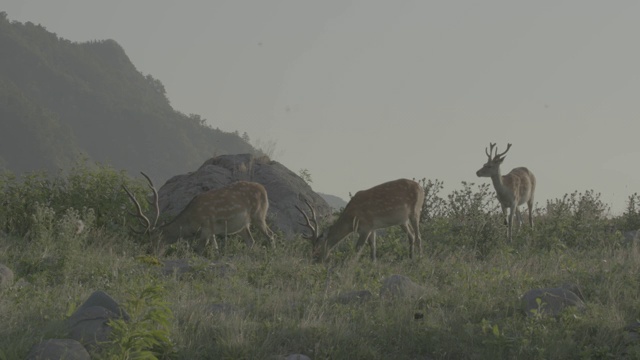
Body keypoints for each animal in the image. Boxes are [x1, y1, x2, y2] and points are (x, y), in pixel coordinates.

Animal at [122, 172, 276, 252]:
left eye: (155, 239)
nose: (150, 252)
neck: (191, 221)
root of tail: (264, 190)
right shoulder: (212, 231)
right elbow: (215, 249)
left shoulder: (206, 227)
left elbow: (200, 249)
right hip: (243, 226)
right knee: (251, 241)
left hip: (259, 214)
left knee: (270, 235)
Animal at [296, 179, 424, 262]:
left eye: (318, 247)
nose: (314, 259)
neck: (351, 221)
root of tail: (421, 188)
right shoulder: (372, 227)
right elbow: (373, 248)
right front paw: (373, 265)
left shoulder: (366, 227)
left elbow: (357, 249)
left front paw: (350, 267)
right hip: (403, 220)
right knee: (411, 235)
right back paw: (410, 258)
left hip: (416, 211)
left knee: (418, 236)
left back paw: (419, 260)